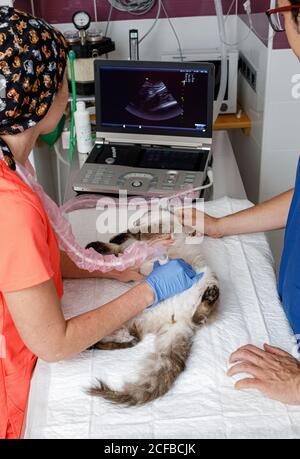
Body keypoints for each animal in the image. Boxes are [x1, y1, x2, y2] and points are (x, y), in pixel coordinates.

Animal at [85, 209, 219, 406]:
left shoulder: (161, 228)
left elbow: (138, 234)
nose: (136, 221)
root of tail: (177, 318)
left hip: (207, 278)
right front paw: (105, 244)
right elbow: (119, 246)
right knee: (132, 338)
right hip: (132, 316)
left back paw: (209, 296)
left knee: (199, 316)